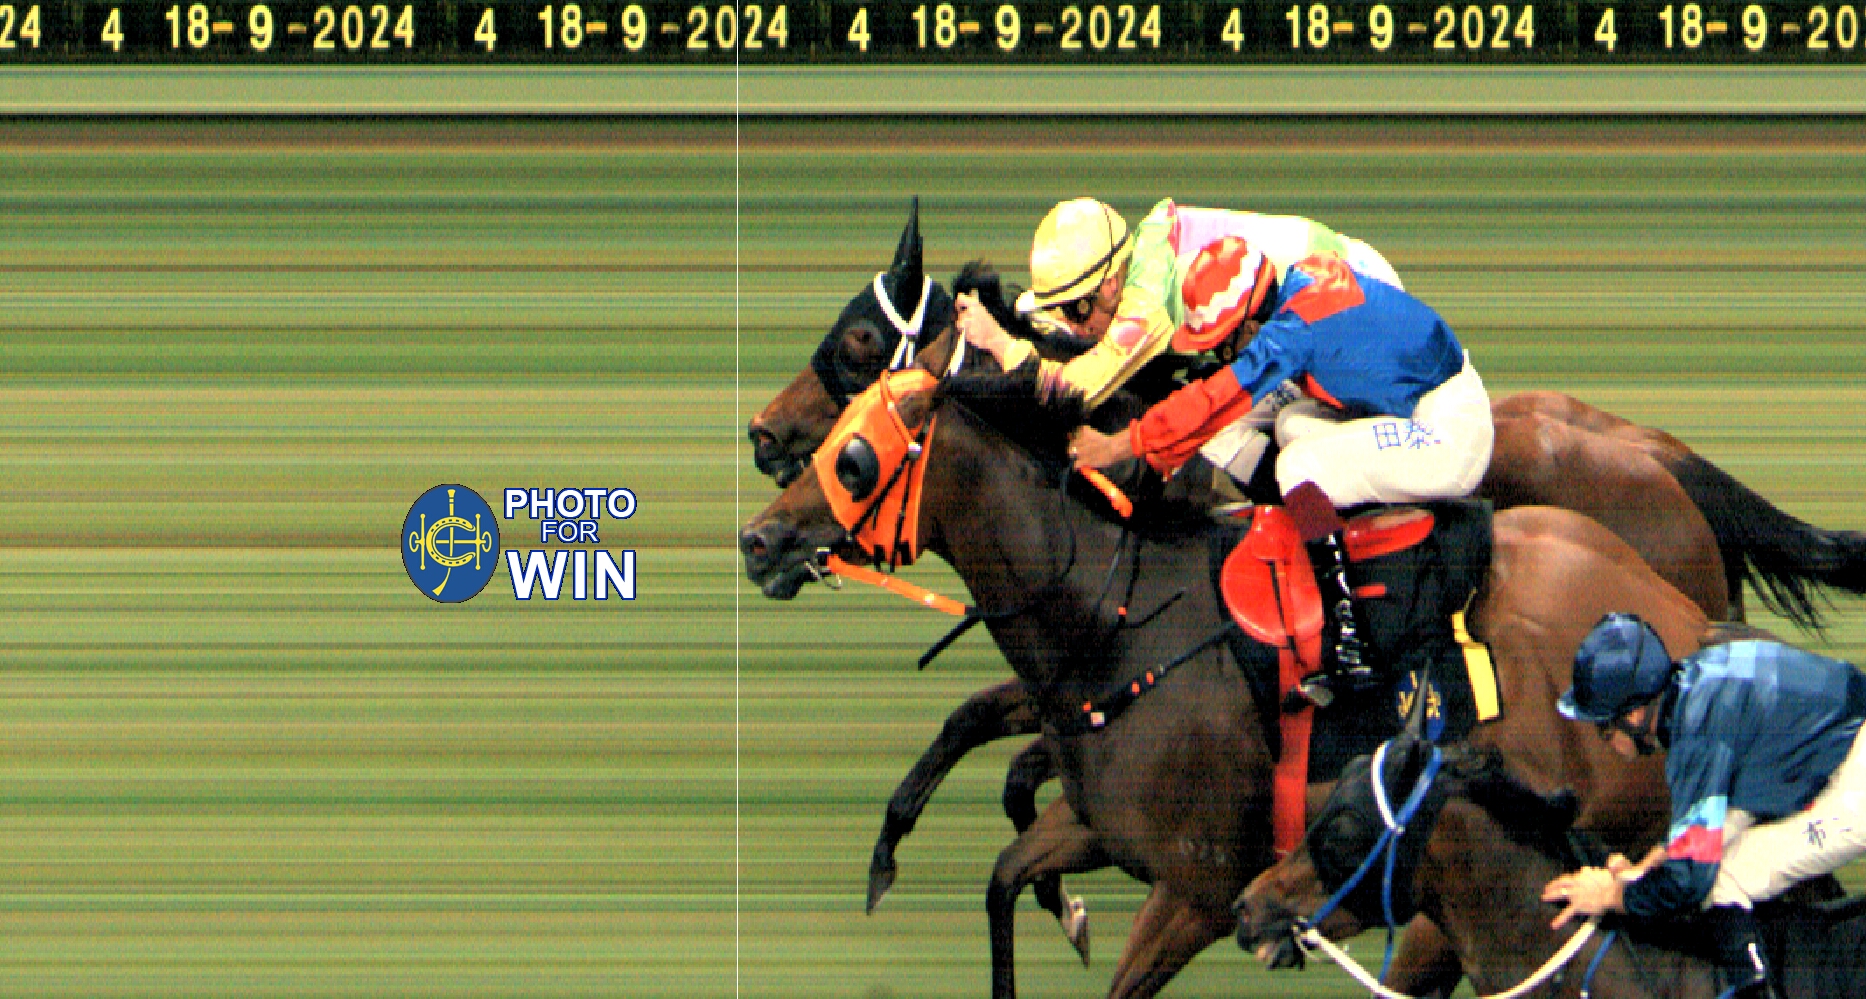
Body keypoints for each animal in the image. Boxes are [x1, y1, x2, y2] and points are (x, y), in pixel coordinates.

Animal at [740, 371, 1713, 999]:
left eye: (855, 457)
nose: (759, 538)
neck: (1119, 615)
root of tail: (1692, 631)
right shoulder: (1102, 826)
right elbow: (1004, 876)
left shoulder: (1199, 890)